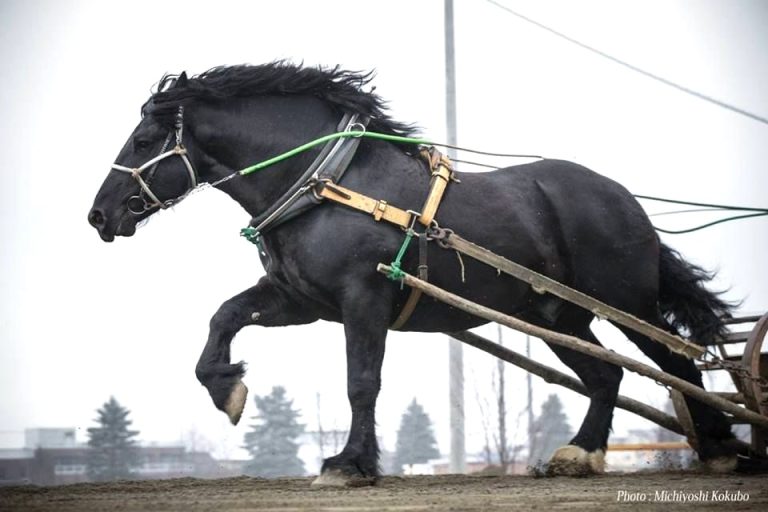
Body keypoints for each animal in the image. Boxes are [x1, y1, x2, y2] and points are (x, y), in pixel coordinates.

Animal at [88, 62, 742, 484]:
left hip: (624, 301)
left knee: (678, 362)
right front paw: (227, 387)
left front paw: (349, 464)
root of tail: (625, 199)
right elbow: (223, 317)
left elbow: (362, 381)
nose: (99, 214)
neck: (325, 183)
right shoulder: (300, 301)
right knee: (607, 376)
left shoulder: (362, 299)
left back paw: (718, 448)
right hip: (558, 315)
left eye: (143, 138)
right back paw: (580, 455)